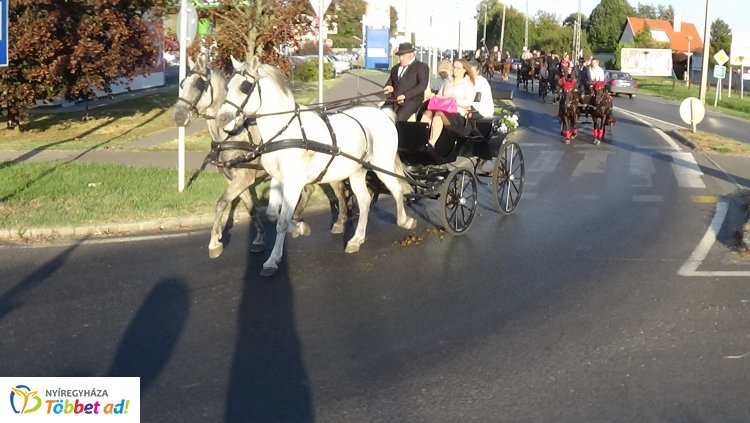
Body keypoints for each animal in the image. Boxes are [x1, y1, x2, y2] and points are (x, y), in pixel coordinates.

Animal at [175, 56, 348, 260]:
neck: (232, 135)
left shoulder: (243, 178)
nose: (178, 116)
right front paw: (259, 238)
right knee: (309, 189)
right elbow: (250, 208)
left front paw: (214, 242)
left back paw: (340, 221)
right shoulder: (234, 180)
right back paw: (297, 221)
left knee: (339, 192)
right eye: (182, 83)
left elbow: (221, 203)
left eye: (199, 84)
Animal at [216, 56, 418, 276]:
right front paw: (299, 228)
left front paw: (273, 259)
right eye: (227, 86)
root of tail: (382, 113)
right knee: (364, 201)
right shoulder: (278, 180)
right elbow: (272, 215)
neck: (286, 131)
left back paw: (405, 221)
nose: (222, 118)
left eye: (245, 87)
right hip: (357, 170)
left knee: (396, 189)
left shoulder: (294, 183)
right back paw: (356, 239)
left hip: (382, 164)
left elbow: (282, 221)